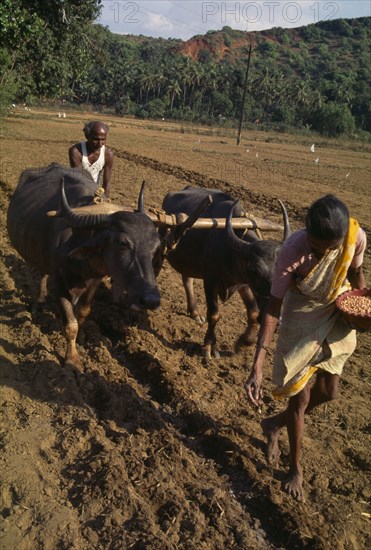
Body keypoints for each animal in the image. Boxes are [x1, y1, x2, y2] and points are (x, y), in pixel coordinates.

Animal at [6, 164, 161, 370]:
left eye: (155, 246)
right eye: (122, 243)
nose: (150, 300)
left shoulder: (95, 280)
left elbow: (82, 314)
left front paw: (80, 341)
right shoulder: (59, 281)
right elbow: (70, 324)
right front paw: (72, 360)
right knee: (42, 274)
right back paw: (38, 303)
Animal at [161, 188, 290, 362]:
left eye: (284, 272)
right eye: (256, 270)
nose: (276, 319)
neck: (229, 250)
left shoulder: (243, 284)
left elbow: (253, 312)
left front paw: (245, 341)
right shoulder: (210, 282)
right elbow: (214, 315)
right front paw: (209, 347)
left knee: (187, 279)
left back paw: (195, 312)